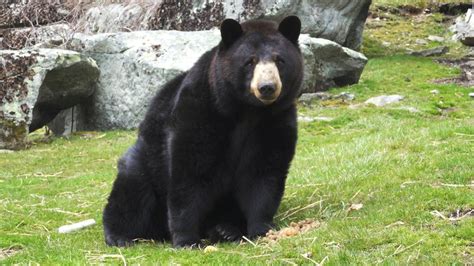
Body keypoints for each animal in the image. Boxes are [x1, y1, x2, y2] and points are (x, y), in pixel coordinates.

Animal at [103, 15, 304, 247]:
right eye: (250, 61)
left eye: (279, 60)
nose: (267, 87)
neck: (247, 110)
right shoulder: (200, 110)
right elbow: (190, 172)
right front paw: (186, 239)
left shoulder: (275, 120)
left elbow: (263, 172)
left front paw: (261, 228)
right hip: (146, 161)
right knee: (132, 190)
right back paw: (119, 236)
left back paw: (225, 229)